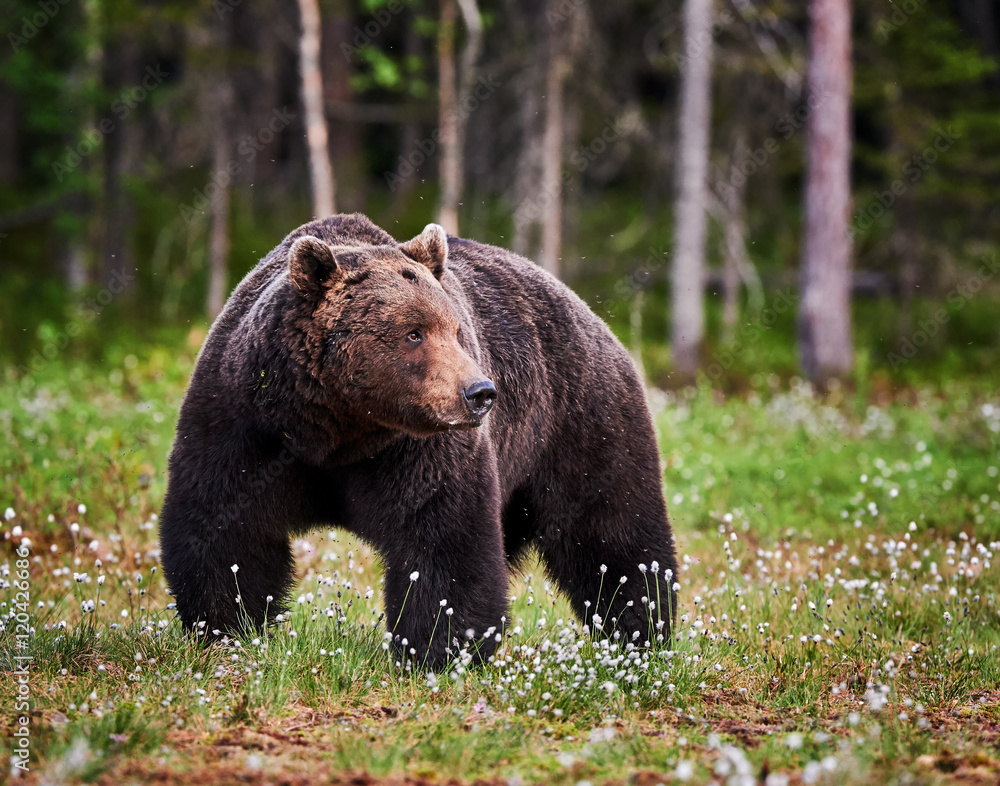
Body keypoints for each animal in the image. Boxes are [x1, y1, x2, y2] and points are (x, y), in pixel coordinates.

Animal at [159, 213, 678, 667]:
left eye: (456, 330)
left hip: (581, 423)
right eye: (414, 333)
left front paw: (436, 649)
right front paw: (227, 625)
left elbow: (441, 539)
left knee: (613, 535)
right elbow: (225, 523)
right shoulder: (246, 422)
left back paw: (641, 632)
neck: (339, 428)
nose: (480, 393)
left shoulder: (419, 449)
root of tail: (592, 316)